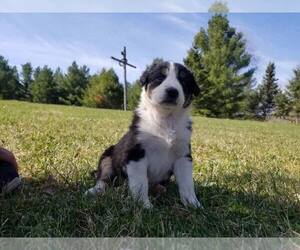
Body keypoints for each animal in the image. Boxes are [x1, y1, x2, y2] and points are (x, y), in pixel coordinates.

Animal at [85, 59, 202, 208]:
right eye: (159, 78)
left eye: (184, 81)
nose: (172, 91)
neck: (165, 118)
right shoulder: (136, 153)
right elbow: (141, 183)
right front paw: (144, 206)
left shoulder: (183, 155)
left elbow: (187, 183)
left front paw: (193, 204)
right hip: (107, 157)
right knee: (103, 179)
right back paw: (94, 191)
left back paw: (159, 189)